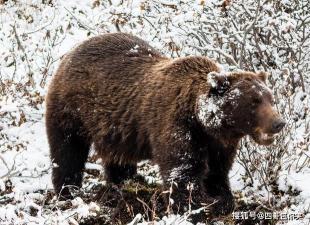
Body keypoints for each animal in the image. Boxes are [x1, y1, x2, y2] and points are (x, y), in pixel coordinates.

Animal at [44, 32, 284, 217]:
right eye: (254, 101)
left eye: (270, 98)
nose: (278, 123)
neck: (204, 122)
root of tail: (71, 53)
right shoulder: (178, 126)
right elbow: (183, 170)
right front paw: (197, 204)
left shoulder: (219, 143)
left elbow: (217, 170)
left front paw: (222, 198)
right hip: (71, 111)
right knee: (67, 152)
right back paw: (68, 193)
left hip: (115, 127)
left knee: (117, 157)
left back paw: (123, 184)